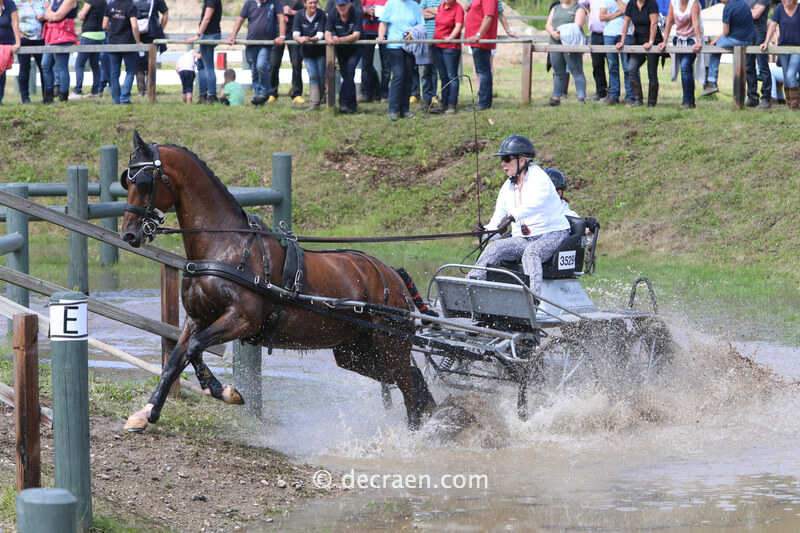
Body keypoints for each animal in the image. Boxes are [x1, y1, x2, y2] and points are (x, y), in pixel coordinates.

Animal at [120, 131, 438, 430]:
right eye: (128, 181)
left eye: (145, 181)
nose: (129, 234)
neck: (224, 244)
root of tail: (393, 275)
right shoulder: (197, 317)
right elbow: (176, 359)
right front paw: (146, 413)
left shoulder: (242, 320)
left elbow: (196, 347)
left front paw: (224, 391)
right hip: (357, 352)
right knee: (414, 380)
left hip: (391, 345)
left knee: (410, 391)